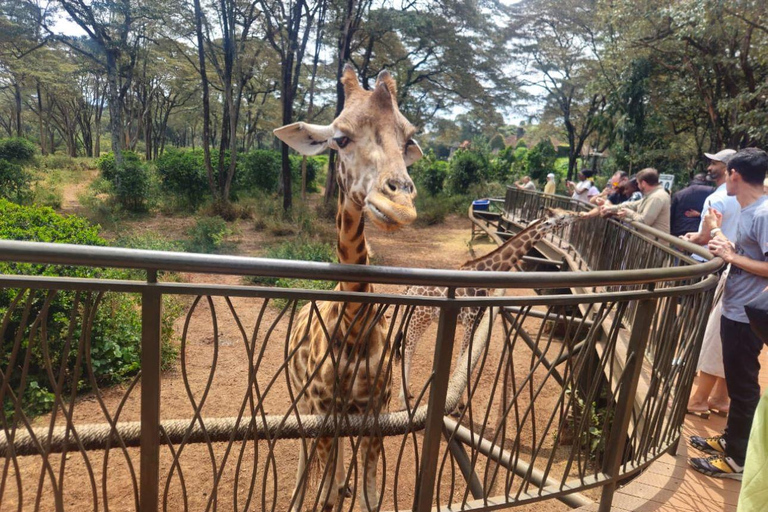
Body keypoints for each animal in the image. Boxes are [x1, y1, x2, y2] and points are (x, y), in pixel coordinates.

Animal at [273, 66, 422, 512]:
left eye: (408, 140)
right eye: (340, 139)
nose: (398, 206)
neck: (354, 329)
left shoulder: (375, 411)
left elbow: (370, 495)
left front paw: (351, 490)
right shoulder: (324, 407)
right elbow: (325, 491)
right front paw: (323, 493)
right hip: (304, 401)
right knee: (311, 459)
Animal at [395, 207, 588, 409]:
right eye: (562, 217)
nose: (579, 215)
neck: (485, 270)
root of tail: (408, 289)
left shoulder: (475, 321)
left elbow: (464, 358)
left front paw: (459, 401)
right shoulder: (470, 320)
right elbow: (462, 358)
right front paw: (458, 404)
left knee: (408, 348)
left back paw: (408, 393)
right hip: (419, 318)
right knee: (408, 349)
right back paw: (402, 401)